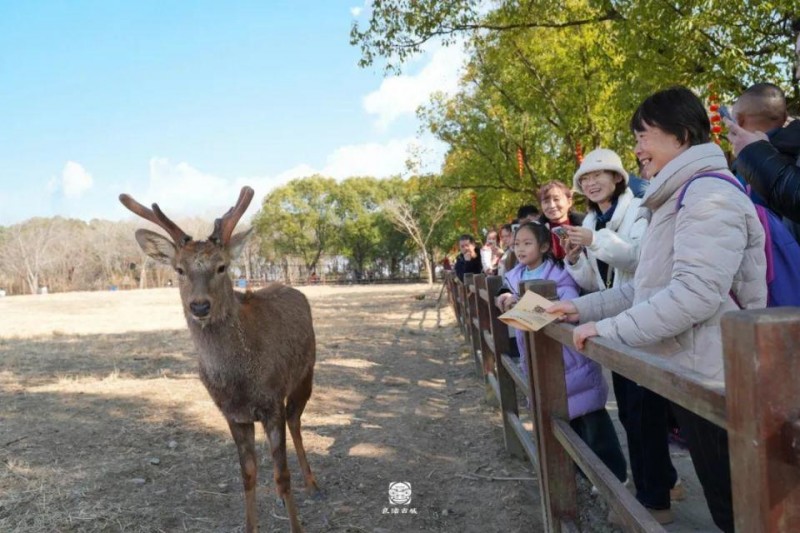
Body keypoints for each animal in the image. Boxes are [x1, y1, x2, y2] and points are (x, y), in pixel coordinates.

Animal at [119, 185, 318, 528]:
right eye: (179, 269)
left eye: (221, 266)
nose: (199, 306)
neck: (239, 383)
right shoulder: (232, 414)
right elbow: (248, 475)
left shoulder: (272, 403)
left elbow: (282, 476)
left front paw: (296, 523)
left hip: (307, 372)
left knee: (296, 420)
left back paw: (312, 482)